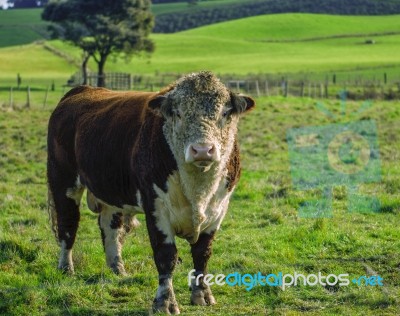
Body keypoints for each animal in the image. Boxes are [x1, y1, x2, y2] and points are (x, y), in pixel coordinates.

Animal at [46, 72, 253, 314]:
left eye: (225, 113)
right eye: (178, 113)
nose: (202, 150)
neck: (198, 191)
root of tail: (82, 90)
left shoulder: (218, 209)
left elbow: (202, 253)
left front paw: (202, 294)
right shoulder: (156, 208)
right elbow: (166, 256)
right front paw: (165, 302)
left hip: (112, 193)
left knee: (110, 228)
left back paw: (117, 269)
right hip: (63, 181)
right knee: (68, 226)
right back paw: (66, 268)